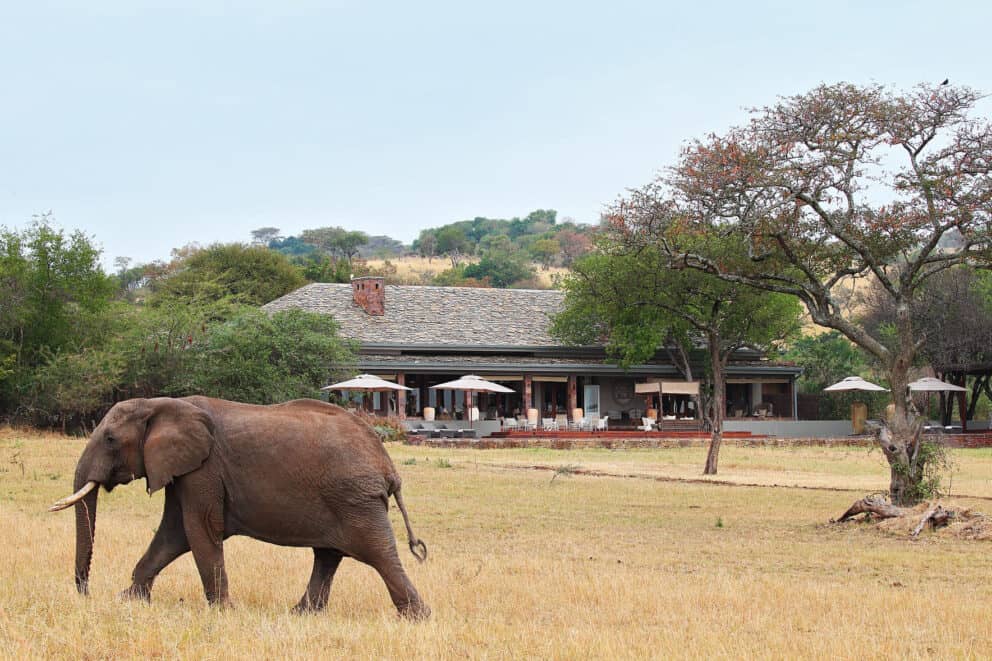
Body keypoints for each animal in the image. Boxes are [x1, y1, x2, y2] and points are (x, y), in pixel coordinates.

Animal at [49, 396, 429, 618]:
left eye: (110, 439)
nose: (85, 594)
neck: (163, 403)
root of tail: (387, 465)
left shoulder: (204, 469)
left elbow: (199, 529)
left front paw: (223, 612)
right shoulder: (184, 470)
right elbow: (174, 533)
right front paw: (129, 600)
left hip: (354, 499)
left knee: (377, 553)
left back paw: (416, 617)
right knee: (328, 556)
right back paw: (300, 615)